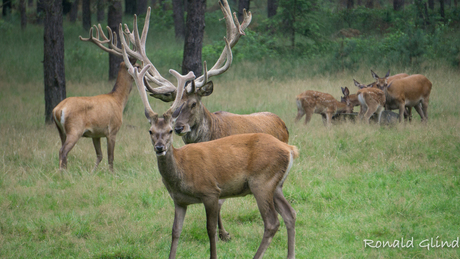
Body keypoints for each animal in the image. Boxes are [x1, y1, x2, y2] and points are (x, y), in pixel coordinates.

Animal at [126, 59, 298, 259]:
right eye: (150, 131)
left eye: (169, 131)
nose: (160, 147)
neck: (181, 173)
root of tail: (290, 149)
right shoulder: (179, 200)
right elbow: (175, 231)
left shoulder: (211, 191)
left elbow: (210, 230)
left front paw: (219, 244)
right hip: (275, 185)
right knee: (290, 214)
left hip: (261, 182)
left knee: (272, 222)